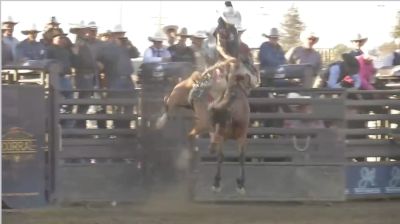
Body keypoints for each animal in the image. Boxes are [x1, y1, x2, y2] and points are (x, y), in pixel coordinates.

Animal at [156, 60, 260, 193]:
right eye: (251, 69)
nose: (257, 80)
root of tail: (192, 80)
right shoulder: (226, 135)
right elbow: (224, 156)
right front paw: (220, 183)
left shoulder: (239, 137)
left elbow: (236, 157)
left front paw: (238, 183)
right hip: (179, 101)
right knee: (171, 109)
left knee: (191, 133)